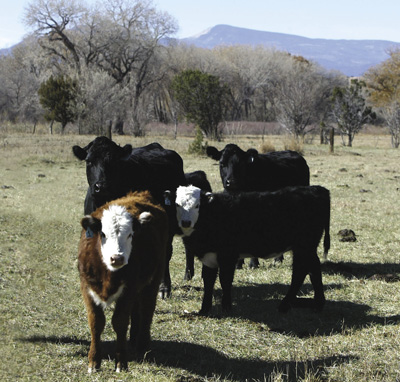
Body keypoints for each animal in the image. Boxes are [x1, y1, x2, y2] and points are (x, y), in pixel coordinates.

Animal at [78, 191, 167, 374]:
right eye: (103, 234)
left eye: (130, 234)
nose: (117, 258)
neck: (107, 273)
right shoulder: (87, 288)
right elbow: (96, 322)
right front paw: (93, 362)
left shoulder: (129, 289)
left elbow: (119, 322)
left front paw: (121, 362)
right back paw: (133, 339)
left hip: (154, 279)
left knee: (147, 309)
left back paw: (142, 345)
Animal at [167, 184, 330, 314]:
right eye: (177, 204)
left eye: (197, 205)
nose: (186, 222)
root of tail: (316, 189)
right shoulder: (209, 257)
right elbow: (208, 281)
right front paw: (204, 310)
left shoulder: (228, 256)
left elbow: (225, 280)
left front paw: (226, 307)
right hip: (307, 248)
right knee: (313, 269)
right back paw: (317, 304)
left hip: (304, 247)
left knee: (300, 272)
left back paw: (285, 305)